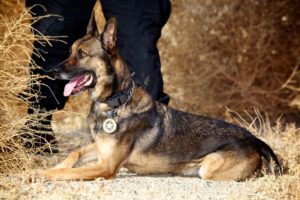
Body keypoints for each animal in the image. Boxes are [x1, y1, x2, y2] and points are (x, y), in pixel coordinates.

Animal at [35, 15, 282, 181]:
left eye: (82, 54)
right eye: (70, 51)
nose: (52, 71)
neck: (116, 102)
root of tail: (253, 138)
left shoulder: (106, 166)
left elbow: (66, 172)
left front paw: (39, 173)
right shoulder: (101, 150)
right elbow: (73, 154)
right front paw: (53, 165)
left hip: (209, 167)